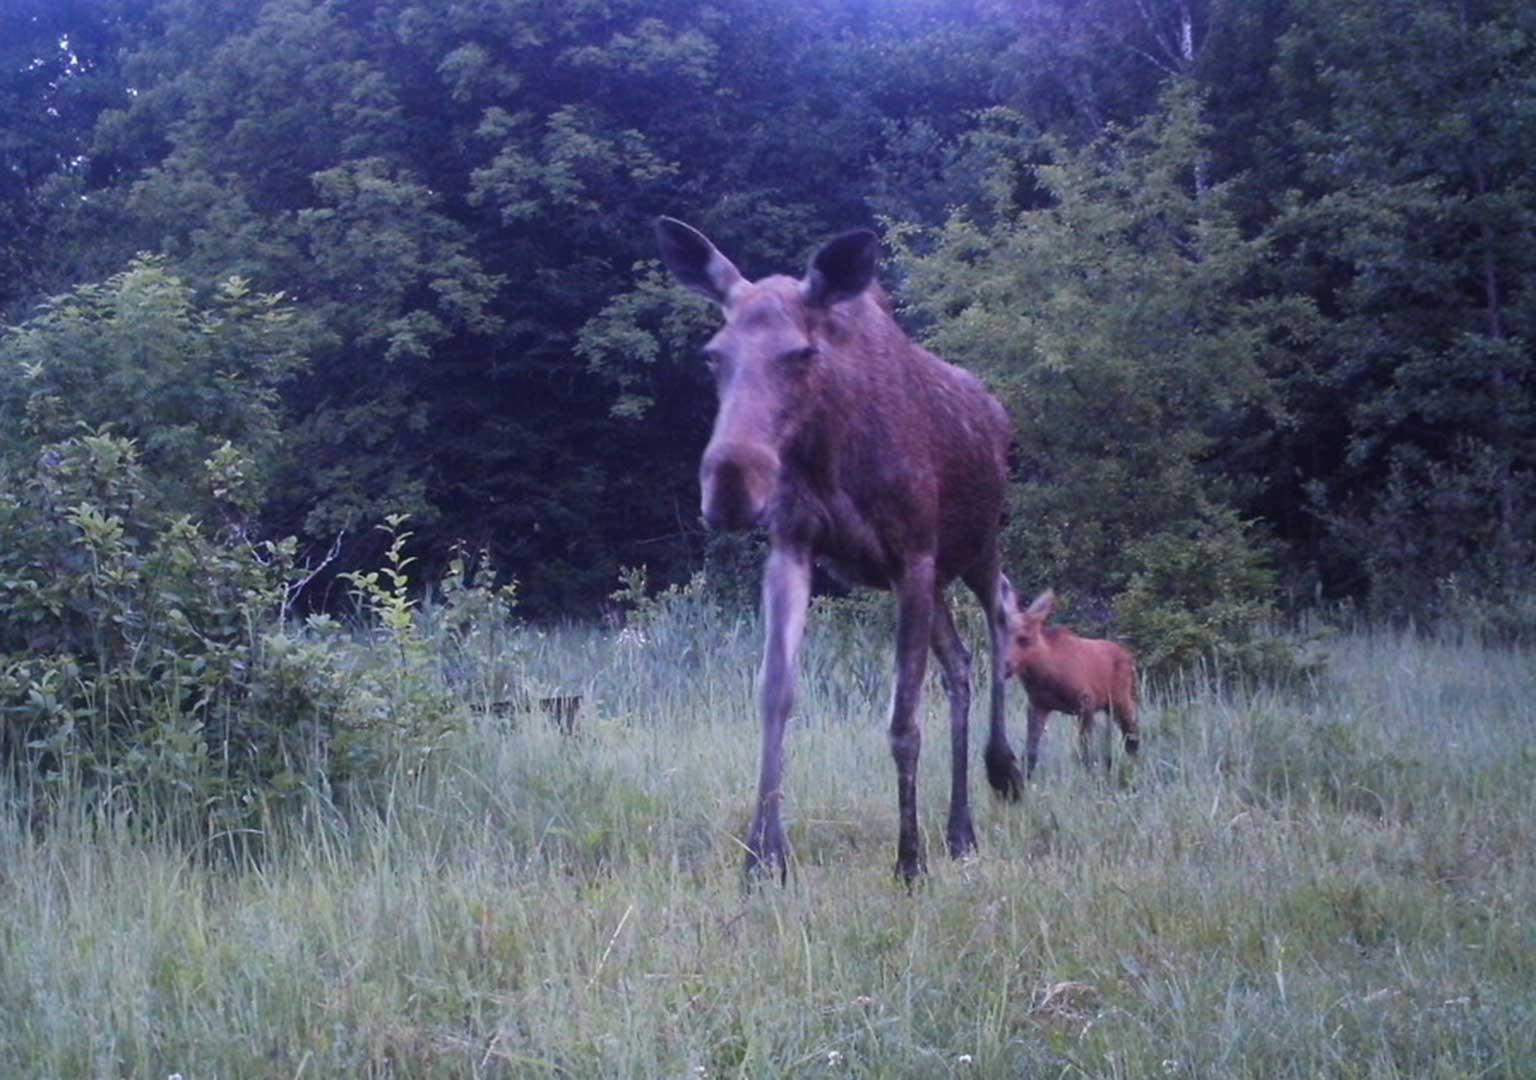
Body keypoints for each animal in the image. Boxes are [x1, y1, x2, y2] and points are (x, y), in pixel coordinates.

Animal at [657, 215, 1026, 884]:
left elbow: (903, 721)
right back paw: (960, 831)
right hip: (936, 579)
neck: (832, 455)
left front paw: (909, 861)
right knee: (959, 665)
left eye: (802, 353)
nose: (730, 485)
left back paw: (1003, 768)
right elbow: (776, 694)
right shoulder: (793, 546)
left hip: (977, 543)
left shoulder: (913, 553)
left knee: (1004, 613)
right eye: (713, 356)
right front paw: (764, 858)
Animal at [1001, 583, 1136, 777]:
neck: (1044, 676)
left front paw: (1089, 776)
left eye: (1024, 639)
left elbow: (1085, 751)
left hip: (1121, 698)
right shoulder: (1038, 705)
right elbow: (1029, 753)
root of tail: (1130, 657)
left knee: (1131, 731)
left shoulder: (1086, 701)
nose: (1004, 666)